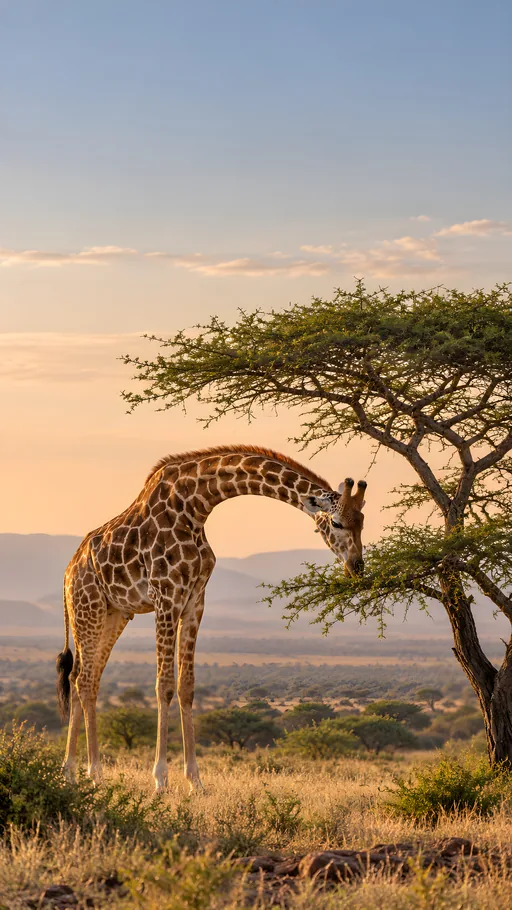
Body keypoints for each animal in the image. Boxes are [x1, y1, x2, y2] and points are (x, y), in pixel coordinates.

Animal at [56, 445, 367, 792]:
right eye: (337, 523)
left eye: (362, 521)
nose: (357, 566)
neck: (197, 505)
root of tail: (68, 573)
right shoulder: (166, 597)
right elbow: (164, 685)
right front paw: (160, 779)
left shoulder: (194, 601)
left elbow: (186, 686)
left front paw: (195, 780)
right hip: (88, 607)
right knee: (82, 679)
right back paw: (88, 771)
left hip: (114, 615)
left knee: (84, 678)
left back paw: (78, 772)